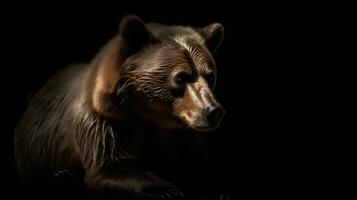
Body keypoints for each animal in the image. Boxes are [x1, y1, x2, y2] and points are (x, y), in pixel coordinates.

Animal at [14, 16, 225, 200]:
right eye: (181, 77)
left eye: (210, 76)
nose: (214, 111)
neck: (148, 111)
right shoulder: (102, 122)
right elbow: (109, 168)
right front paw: (166, 190)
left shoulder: (180, 130)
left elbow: (194, 159)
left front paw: (213, 188)